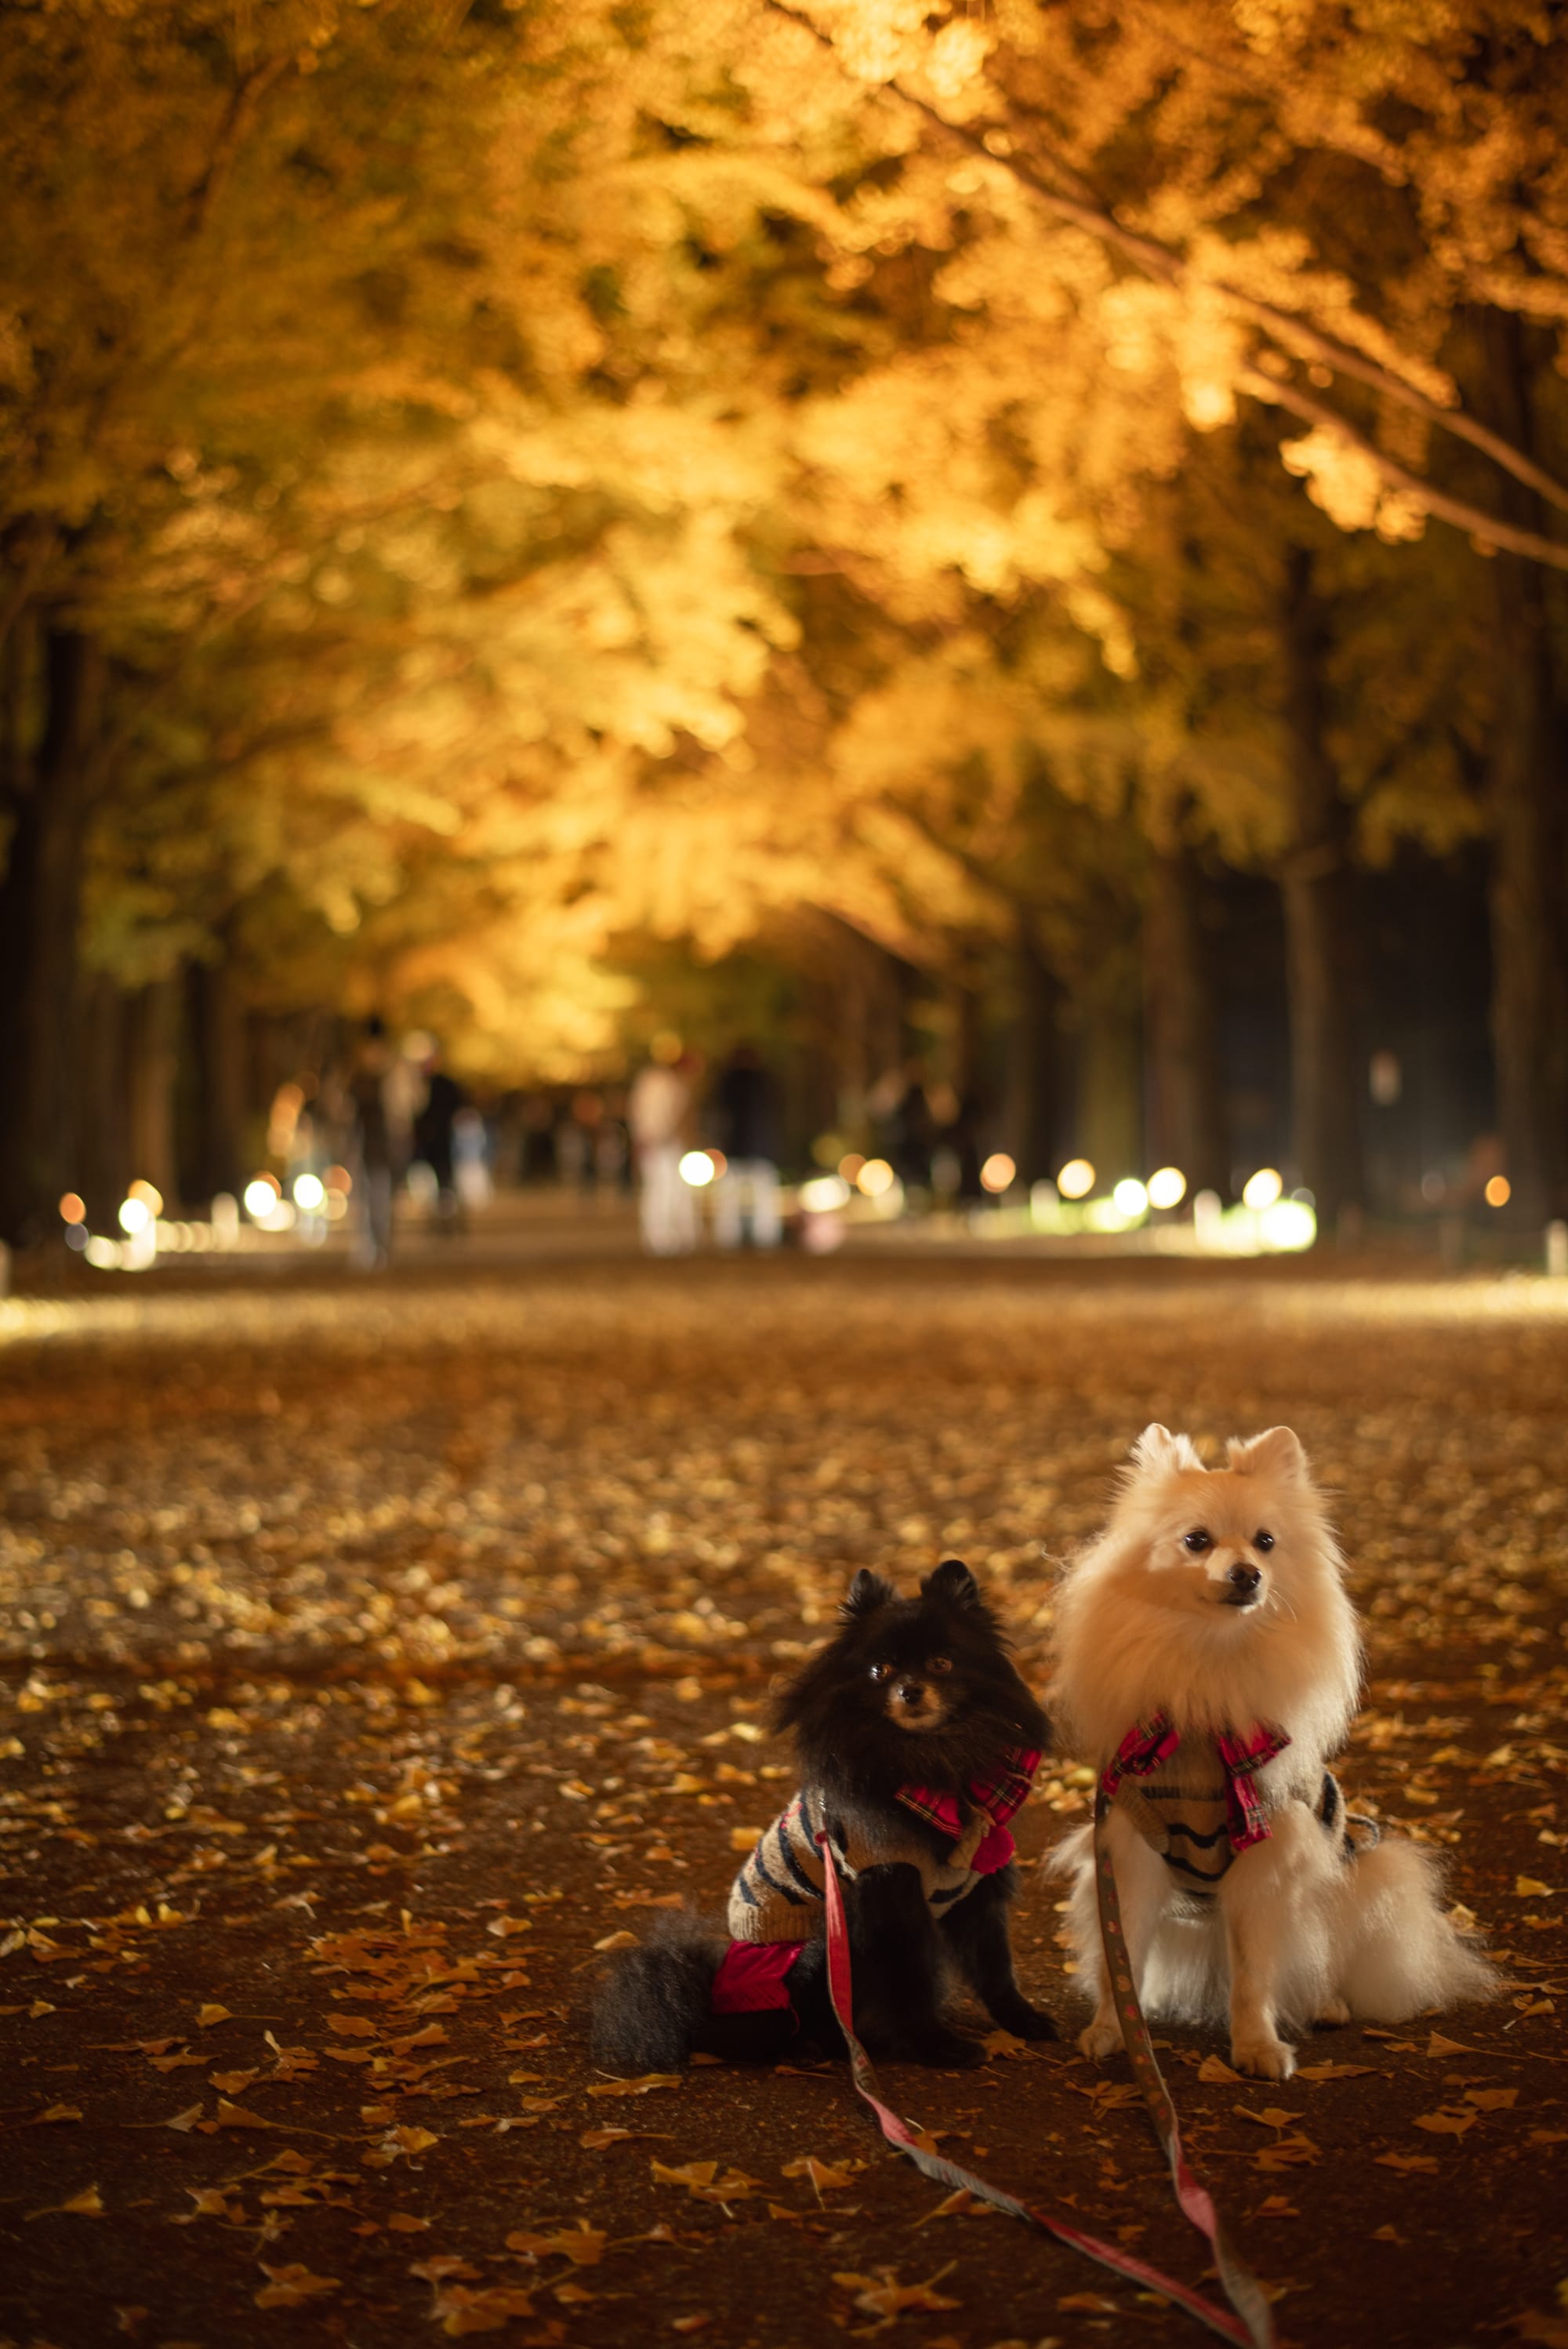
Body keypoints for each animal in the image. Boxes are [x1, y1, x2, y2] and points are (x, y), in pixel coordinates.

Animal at [586, 1569, 1051, 2067]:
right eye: (880, 1671)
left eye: (941, 1664)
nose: (910, 1690)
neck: (929, 1761)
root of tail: (711, 2009)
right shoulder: (891, 1895)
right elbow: (911, 1982)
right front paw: (932, 2044)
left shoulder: (977, 1886)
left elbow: (994, 1966)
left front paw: (1021, 2019)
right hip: (817, 1952)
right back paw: (824, 2045)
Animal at [1047, 1418, 1493, 2086]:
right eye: (1197, 1541)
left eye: (1265, 1542)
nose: (1247, 1574)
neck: (1210, 1668)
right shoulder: (1129, 1854)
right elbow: (1120, 1957)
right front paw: (1113, 2029)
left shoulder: (1266, 1861)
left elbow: (1255, 1974)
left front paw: (1256, 2045)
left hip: (1350, 1879)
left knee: (1323, 1955)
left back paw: (1329, 2002)